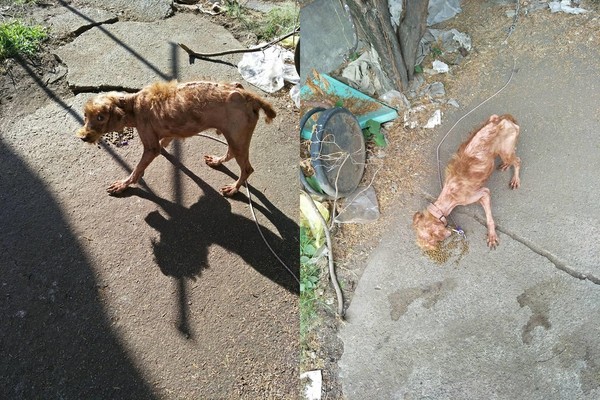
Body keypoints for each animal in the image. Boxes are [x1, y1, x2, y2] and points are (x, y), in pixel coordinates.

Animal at [75, 79, 278, 195]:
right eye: (85, 116)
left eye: (100, 117)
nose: (83, 137)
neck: (132, 106)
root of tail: (249, 96)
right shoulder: (166, 134)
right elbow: (164, 142)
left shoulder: (150, 147)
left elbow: (137, 170)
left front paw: (123, 185)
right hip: (234, 136)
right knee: (230, 153)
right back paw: (217, 161)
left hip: (237, 138)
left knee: (247, 169)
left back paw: (234, 189)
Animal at [412, 113, 520, 250]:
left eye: (431, 243)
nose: (431, 250)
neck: (448, 194)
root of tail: (504, 119)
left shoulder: (484, 193)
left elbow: (489, 218)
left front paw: (491, 235)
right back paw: (505, 165)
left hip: (506, 151)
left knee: (517, 161)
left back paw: (515, 179)